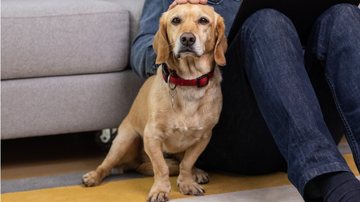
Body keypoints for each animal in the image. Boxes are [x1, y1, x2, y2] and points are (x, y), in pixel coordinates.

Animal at [83, 3, 226, 202]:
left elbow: (187, 163)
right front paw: (160, 190)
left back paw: (197, 172)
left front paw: (187, 183)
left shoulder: (203, 137)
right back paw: (93, 176)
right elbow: (161, 167)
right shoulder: (152, 137)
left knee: (181, 162)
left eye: (203, 20)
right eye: (176, 20)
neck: (188, 81)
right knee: (107, 165)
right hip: (124, 141)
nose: (187, 39)